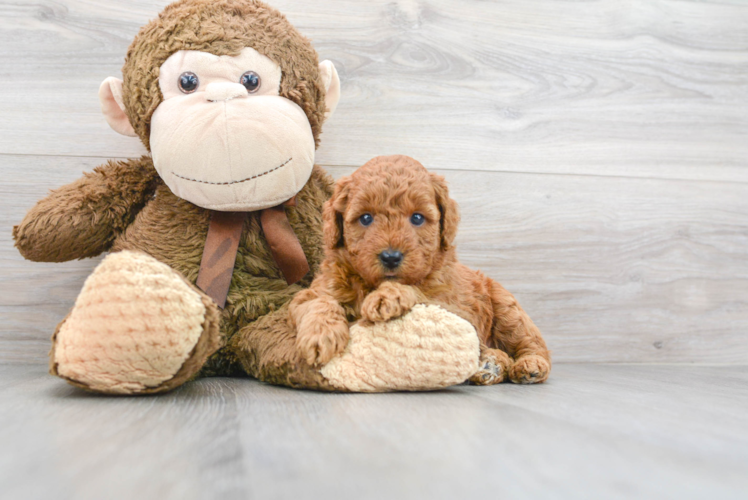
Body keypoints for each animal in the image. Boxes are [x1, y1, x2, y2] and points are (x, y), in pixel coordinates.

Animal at [290, 154, 552, 384]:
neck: (371, 283)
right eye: (365, 218)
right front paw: (320, 336)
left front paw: (388, 296)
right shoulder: (316, 290)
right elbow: (318, 302)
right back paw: (490, 364)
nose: (391, 257)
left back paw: (529, 366)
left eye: (417, 218)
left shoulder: (455, 308)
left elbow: (419, 292)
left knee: (531, 343)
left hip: (507, 310)